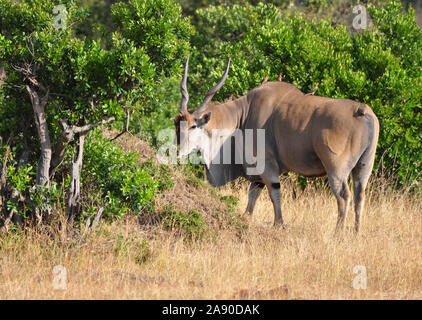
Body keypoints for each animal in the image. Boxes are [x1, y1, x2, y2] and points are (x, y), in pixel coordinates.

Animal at [174, 57, 380, 232]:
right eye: (176, 123)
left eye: (193, 126)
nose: (177, 153)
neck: (242, 115)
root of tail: (361, 110)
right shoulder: (257, 172)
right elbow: (253, 195)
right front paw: (246, 218)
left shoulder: (267, 165)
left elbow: (274, 193)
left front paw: (278, 224)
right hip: (364, 166)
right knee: (360, 195)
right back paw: (356, 233)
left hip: (336, 169)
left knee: (344, 196)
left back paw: (339, 233)